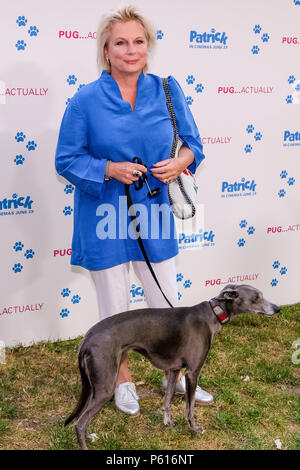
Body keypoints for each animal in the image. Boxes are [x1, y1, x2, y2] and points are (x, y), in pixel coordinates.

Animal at [64, 284, 280, 450]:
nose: (277, 308)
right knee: (79, 424)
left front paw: (167, 423)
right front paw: (194, 429)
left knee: (83, 419)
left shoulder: (175, 369)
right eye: (256, 298)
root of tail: (87, 338)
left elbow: (167, 400)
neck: (212, 313)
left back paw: (90, 436)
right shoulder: (193, 372)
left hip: (94, 385)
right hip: (105, 385)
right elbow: (190, 407)